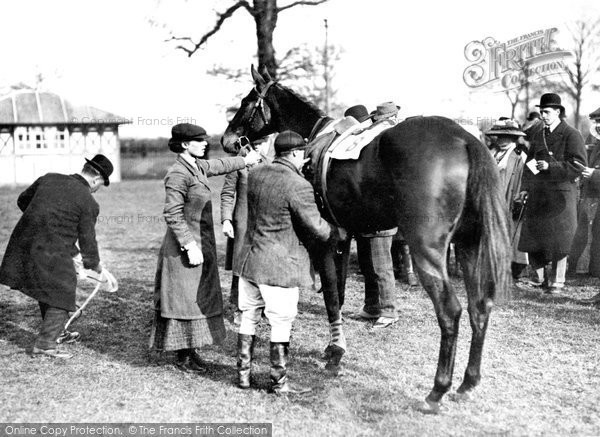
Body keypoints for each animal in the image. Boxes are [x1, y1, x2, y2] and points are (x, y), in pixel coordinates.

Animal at [223, 65, 508, 412]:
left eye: (247, 101)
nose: (227, 140)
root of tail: (466, 140)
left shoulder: (327, 238)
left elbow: (332, 296)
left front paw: (335, 354)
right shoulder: (345, 237)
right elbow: (340, 291)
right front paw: (334, 347)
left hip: (427, 250)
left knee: (450, 312)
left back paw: (437, 391)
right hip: (469, 246)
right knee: (479, 306)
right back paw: (467, 383)